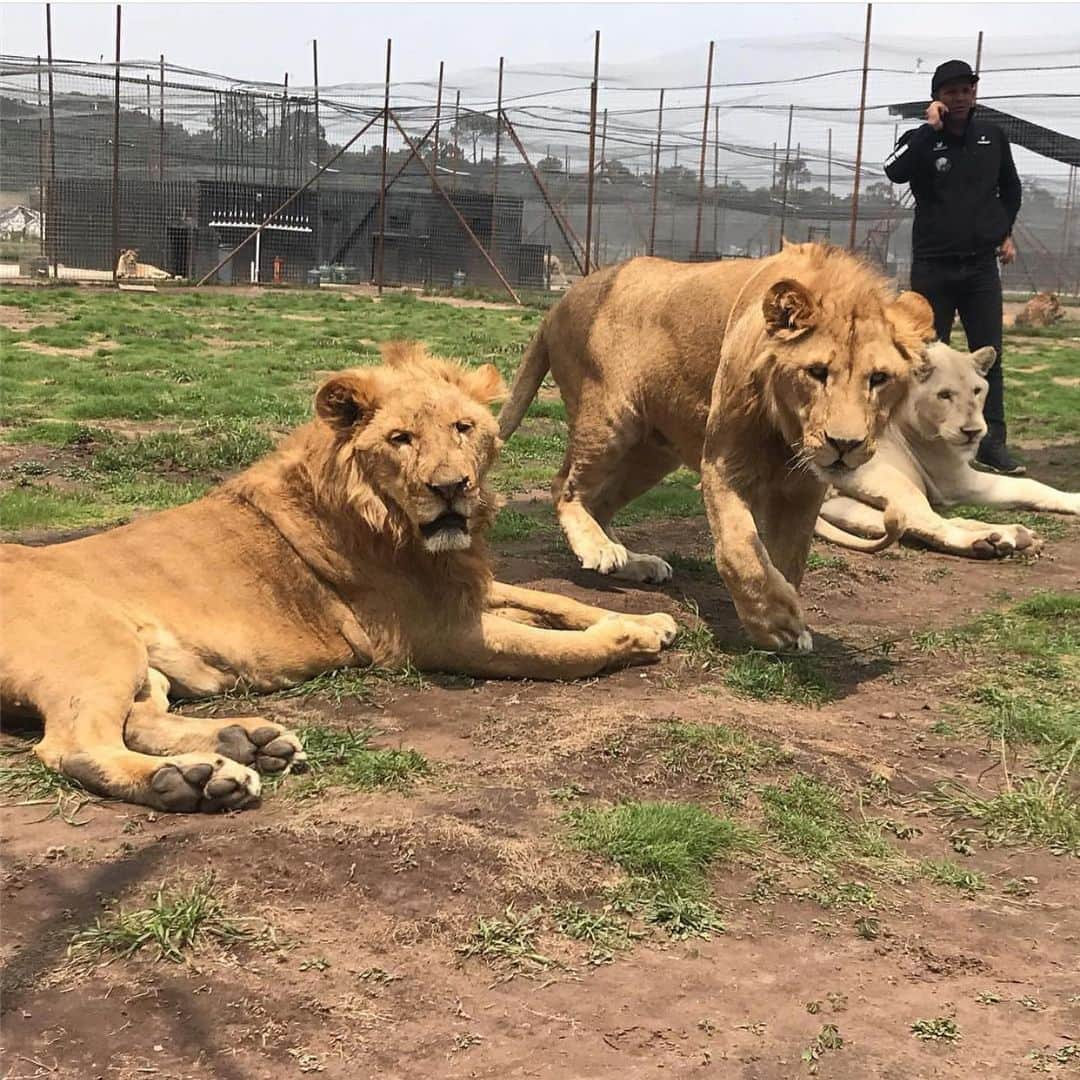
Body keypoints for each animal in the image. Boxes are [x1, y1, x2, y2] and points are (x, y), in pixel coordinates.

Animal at [0, 343, 673, 812]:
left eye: (464, 428)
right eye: (401, 439)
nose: (452, 487)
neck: (393, 522)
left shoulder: (466, 587)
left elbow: (547, 599)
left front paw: (650, 617)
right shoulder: (440, 634)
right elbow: (559, 649)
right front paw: (629, 638)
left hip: (146, 667)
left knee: (140, 720)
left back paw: (244, 745)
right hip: (101, 643)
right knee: (74, 744)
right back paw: (190, 781)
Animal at [501, 243, 933, 648]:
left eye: (879, 378)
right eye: (816, 372)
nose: (844, 444)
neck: (786, 427)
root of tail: (559, 304)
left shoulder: (803, 488)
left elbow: (789, 558)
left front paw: (788, 614)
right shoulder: (724, 466)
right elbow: (740, 552)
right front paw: (776, 622)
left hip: (654, 453)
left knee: (600, 502)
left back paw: (633, 561)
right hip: (610, 419)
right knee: (565, 486)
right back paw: (598, 549)